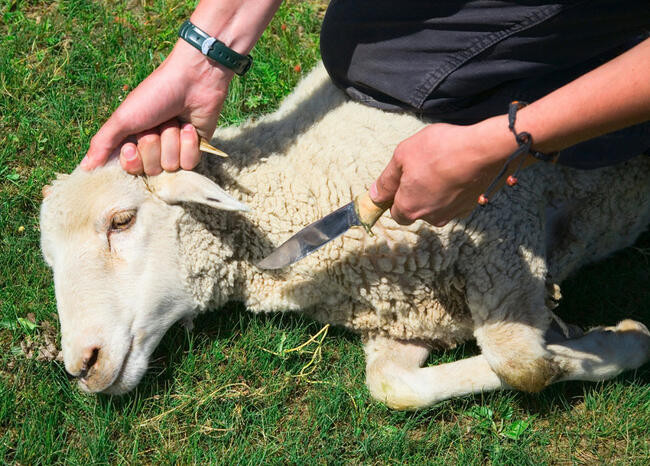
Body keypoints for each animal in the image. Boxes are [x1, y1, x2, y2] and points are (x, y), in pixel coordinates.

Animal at [39, 62, 648, 408]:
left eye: (122, 220)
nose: (82, 365)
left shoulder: (504, 233)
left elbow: (524, 364)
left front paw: (611, 343)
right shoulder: (403, 317)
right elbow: (394, 389)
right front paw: (604, 342)